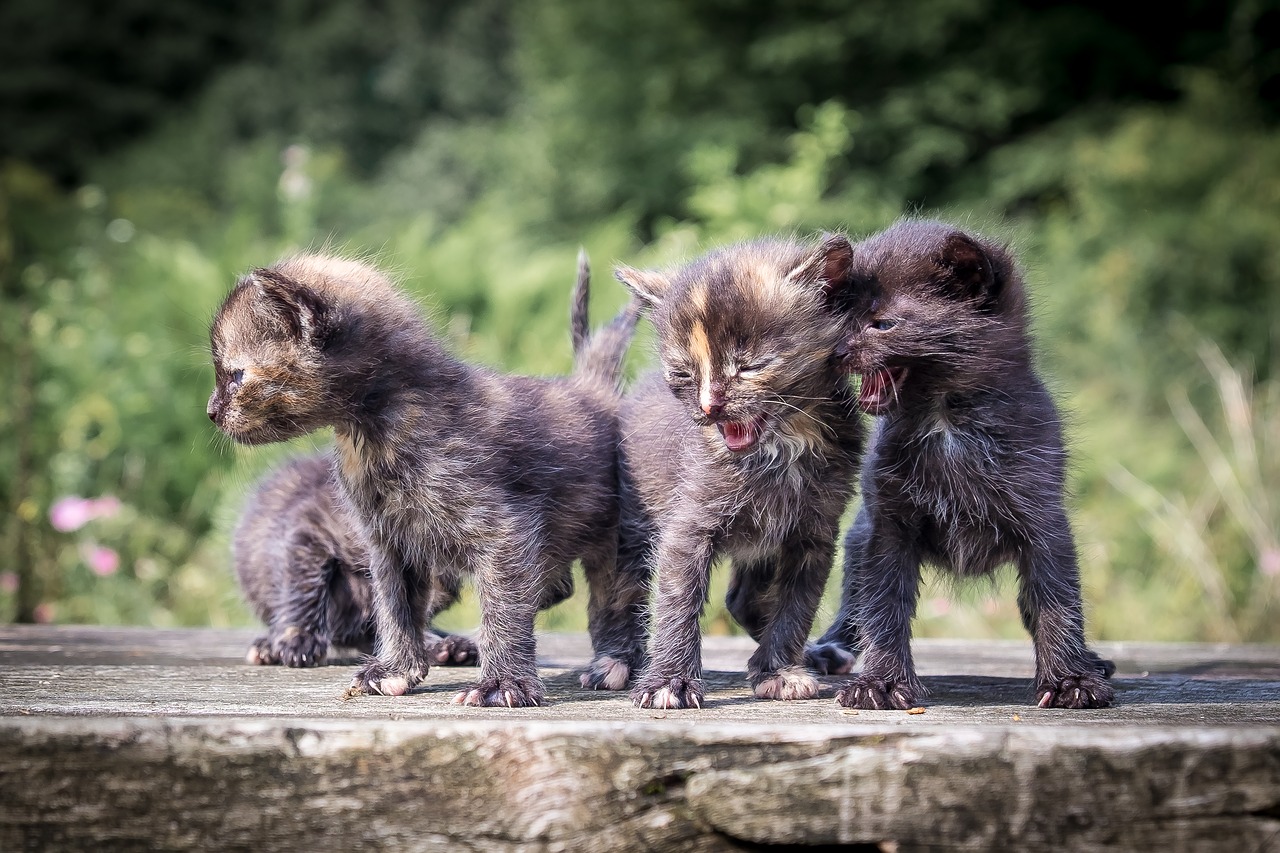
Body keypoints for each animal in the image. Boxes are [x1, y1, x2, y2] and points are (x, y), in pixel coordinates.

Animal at [614, 235, 865, 706]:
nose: (710, 407)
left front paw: (779, 670)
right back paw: (614, 661)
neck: (782, 449)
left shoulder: (814, 532)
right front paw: (669, 682)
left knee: (742, 598)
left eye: (750, 366)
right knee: (621, 587)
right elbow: (676, 599)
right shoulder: (688, 523)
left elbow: (795, 606)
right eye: (683, 374)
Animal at [814, 216, 1116, 706]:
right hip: (859, 536)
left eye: (882, 324)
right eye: (838, 317)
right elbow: (884, 604)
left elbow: (1056, 599)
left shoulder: (1045, 519)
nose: (834, 351)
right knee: (856, 600)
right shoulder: (888, 524)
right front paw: (882, 682)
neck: (947, 423)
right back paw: (831, 647)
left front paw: (1071, 679)